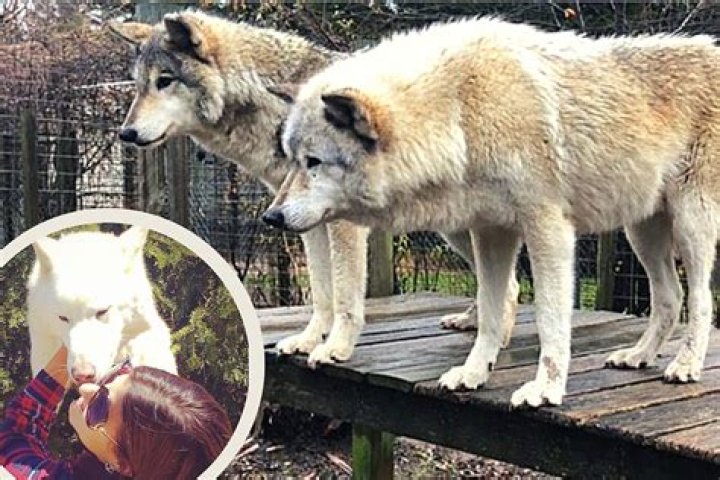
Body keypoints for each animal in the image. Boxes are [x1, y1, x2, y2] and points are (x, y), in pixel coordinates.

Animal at [108, 10, 519, 366]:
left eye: (165, 80)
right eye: (139, 86)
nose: (125, 133)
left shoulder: (342, 223)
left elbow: (345, 296)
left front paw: (336, 347)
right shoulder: (300, 216)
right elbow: (322, 293)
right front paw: (308, 340)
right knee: (506, 283)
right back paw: (473, 322)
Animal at [264, 17, 720, 406]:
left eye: (314, 162)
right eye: (291, 158)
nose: (271, 217)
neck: (461, 111)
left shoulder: (548, 230)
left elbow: (551, 320)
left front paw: (545, 389)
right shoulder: (491, 232)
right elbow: (488, 311)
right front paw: (473, 373)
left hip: (691, 225)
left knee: (700, 300)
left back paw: (685, 365)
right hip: (641, 232)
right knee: (671, 296)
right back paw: (639, 355)